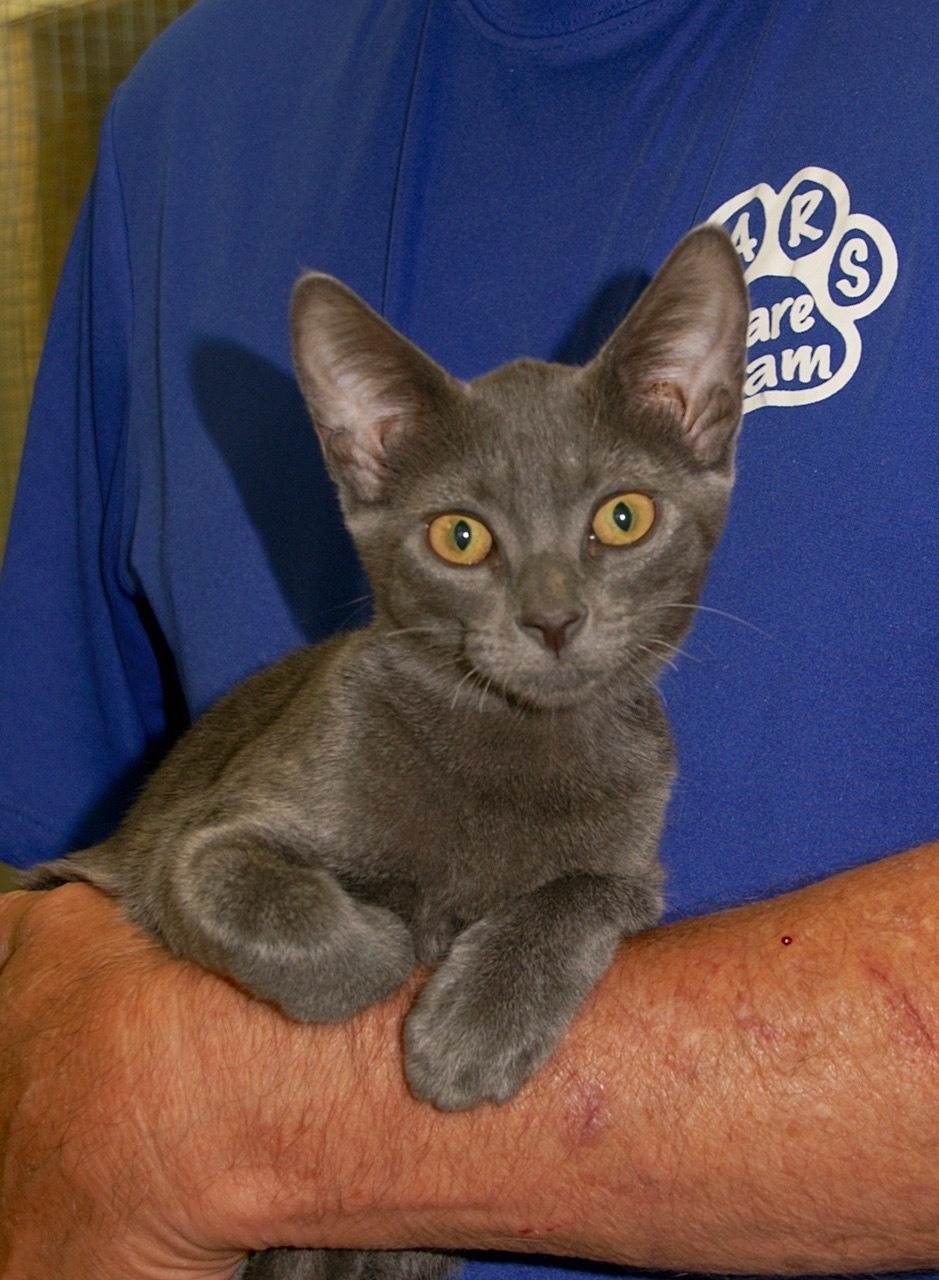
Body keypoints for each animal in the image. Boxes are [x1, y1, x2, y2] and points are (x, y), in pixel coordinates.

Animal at [27, 227, 752, 1280]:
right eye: (460, 536)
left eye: (623, 517)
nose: (552, 619)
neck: (511, 743)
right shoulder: (184, 843)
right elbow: (242, 889)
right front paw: (379, 950)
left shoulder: (634, 856)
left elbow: (578, 891)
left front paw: (473, 1027)